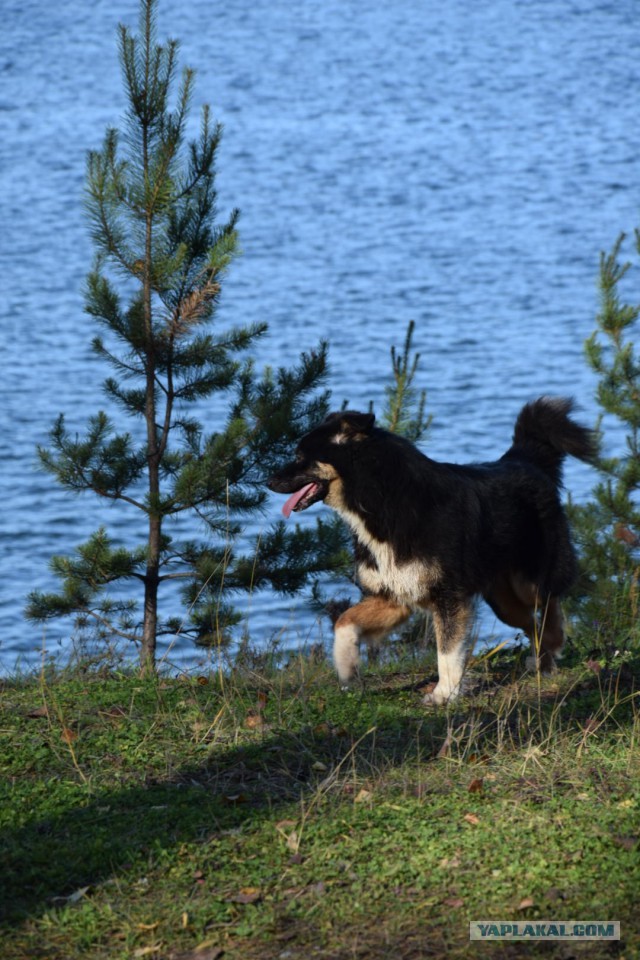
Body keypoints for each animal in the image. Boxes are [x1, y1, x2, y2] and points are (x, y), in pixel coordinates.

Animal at [266, 398, 596, 704]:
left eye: (300, 456)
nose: (268, 480)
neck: (381, 502)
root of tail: (522, 458)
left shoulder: (449, 597)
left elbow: (447, 651)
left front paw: (444, 694)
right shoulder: (392, 597)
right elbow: (344, 623)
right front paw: (347, 669)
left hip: (528, 579)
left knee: (549, 603)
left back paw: (552, 647)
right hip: (502, 601)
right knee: (531, 622)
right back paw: (541, 660)